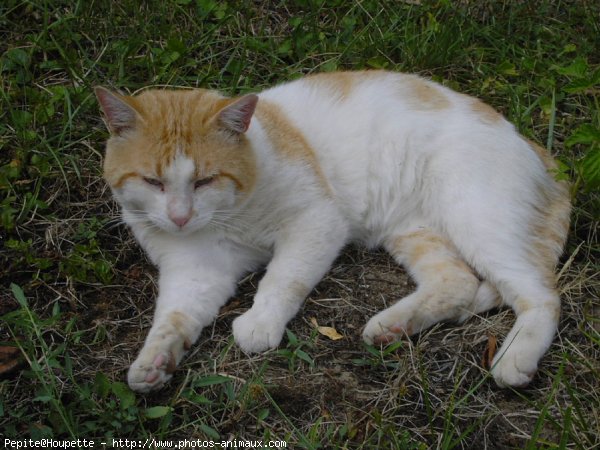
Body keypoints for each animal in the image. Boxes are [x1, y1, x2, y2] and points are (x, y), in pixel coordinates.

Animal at [96, 68, 568, 392]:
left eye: (205, 181)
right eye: (153, 182)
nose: (179, 217)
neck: (229, 216)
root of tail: (536, 148)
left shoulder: (316, 223)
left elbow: (282, 279)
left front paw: (260, 323)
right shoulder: (195, 273)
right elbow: (172, 318)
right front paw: (154, 361)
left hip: (477, 219)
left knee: (542, 293)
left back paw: (515, 357)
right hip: (415, 232)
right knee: (459, 283)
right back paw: (392, 325)